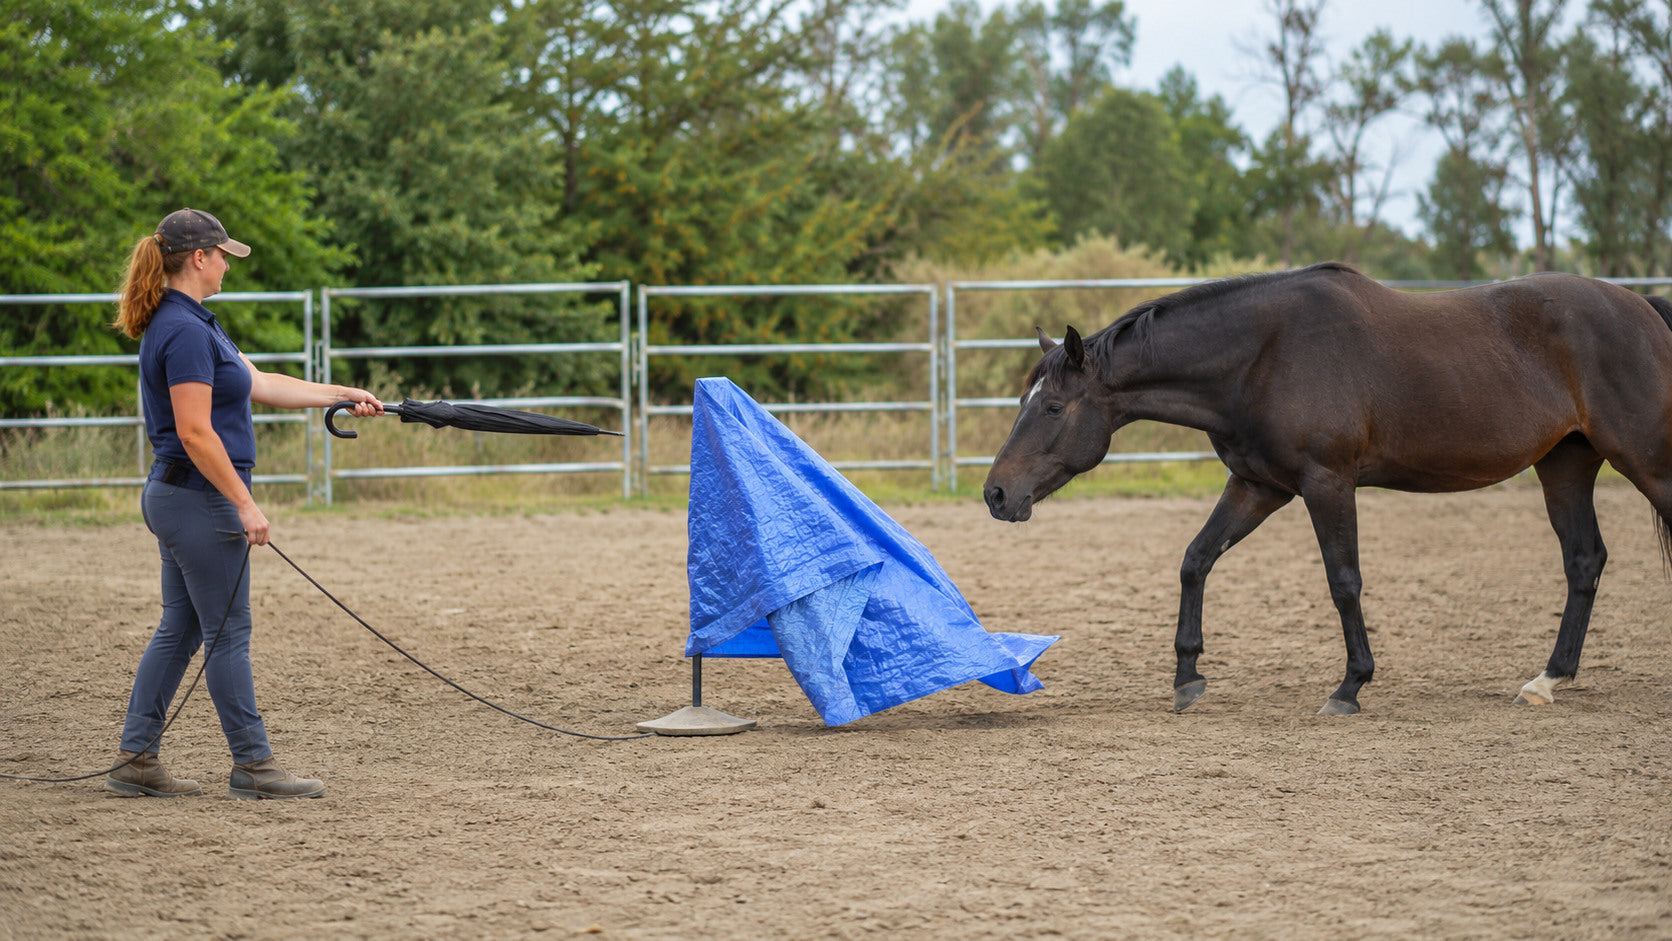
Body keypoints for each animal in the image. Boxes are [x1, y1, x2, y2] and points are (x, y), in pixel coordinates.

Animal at [983, 262, 1672, 716]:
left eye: (1052, 409)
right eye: (1022, 401)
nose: (996, 494)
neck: (1262, 356)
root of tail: (1644, 308)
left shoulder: (1328, 484)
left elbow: (1344, 581)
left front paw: (1350, 687)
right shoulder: (1258, 485)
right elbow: (1195, 561)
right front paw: (1187, 676)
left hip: (1645, 462)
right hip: (1565, 467)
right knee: (1584, 561)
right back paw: (1548, 679)